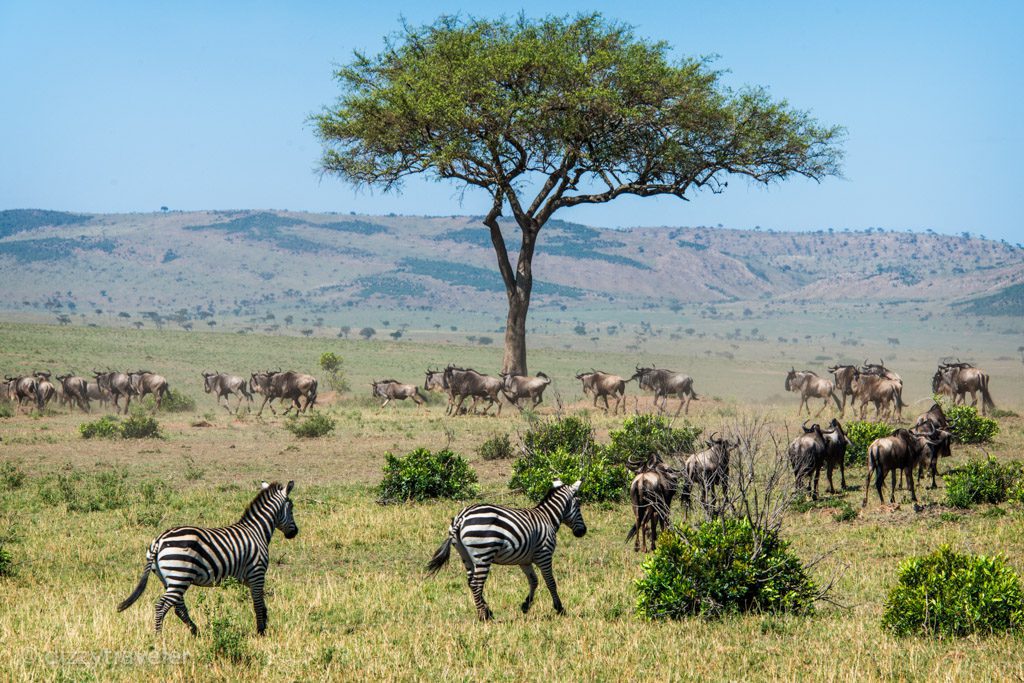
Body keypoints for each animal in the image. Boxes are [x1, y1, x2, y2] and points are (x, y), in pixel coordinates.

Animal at [118, 481, 299, 634]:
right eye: (291, 508)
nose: (294, 533)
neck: (257, 530)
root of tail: (159, 540)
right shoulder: (257, 573)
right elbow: (258, 603)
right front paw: (261, 631)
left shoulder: (248, 578)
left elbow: (261, 603)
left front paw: (264, 626)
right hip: (180, 575)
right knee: (161, 606)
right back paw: (159, 636)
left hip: (170, 579)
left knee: (178, 607)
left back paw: (195, 632)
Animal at [423, 479, 585, 622]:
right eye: (578, 504)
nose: (583, 532)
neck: (548, 518)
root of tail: (461, 517)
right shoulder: (544, 554)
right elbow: (550, 582)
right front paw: (560, 608)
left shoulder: (524, 560)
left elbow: (534, 581)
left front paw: (525, 606)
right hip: (483, 554)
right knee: (476, 584)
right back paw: (483, 616)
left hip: (466, 555)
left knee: (470, 582)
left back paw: (487, 611)